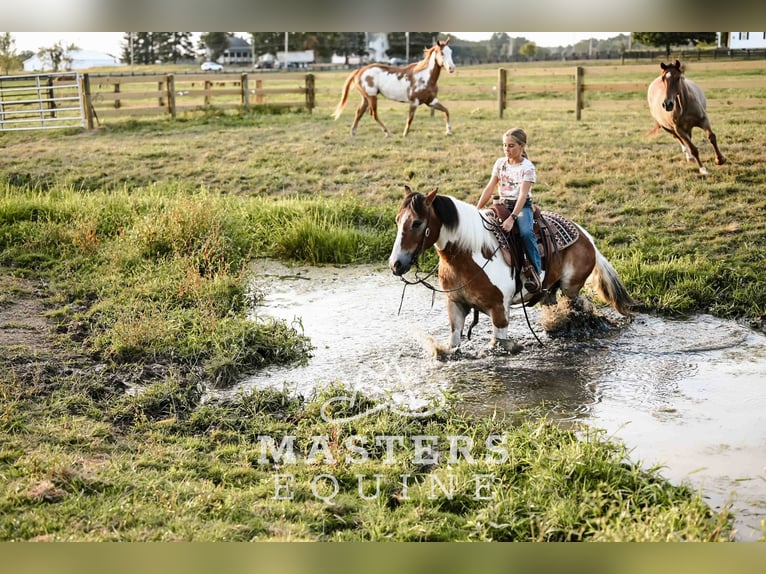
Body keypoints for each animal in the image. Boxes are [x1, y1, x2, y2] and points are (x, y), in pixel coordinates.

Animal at [388, 187, 636, 352]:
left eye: (417, 223)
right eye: (397, 220)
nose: (395, 264)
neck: (468, 254)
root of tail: (587, 237)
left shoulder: (499, 311)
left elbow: (499, 343)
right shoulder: (455, 305)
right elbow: (454, 342)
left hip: (570, 287)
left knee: (582, 306)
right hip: (551, 292)